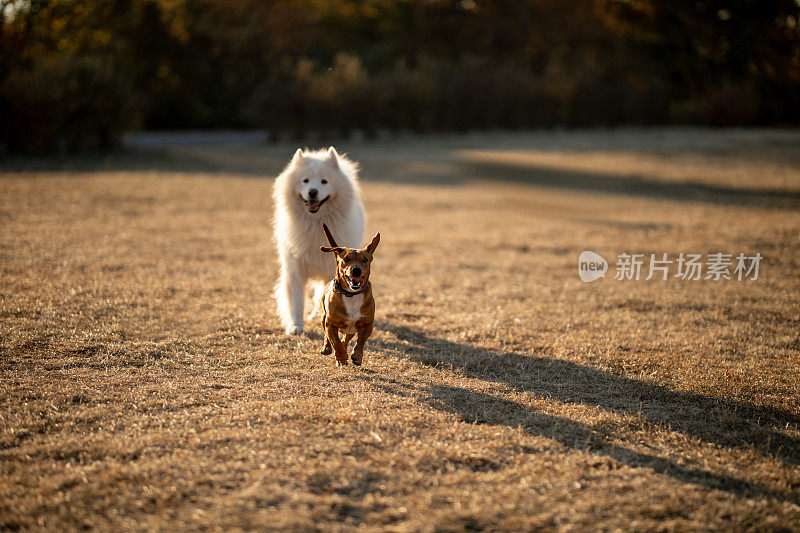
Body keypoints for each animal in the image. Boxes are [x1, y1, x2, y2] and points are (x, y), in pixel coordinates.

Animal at [272, 145, 366, 334]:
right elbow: (296, 301)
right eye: (305, 180)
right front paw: (295, 326)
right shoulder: (295, 269)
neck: (316, 223)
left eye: (324, 181)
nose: (313, 192)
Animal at [320, 221, 380, 366]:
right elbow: (335, 342)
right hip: (323, 317)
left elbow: (361, 342)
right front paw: (341, 357)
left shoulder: (367, 324)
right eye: (346, 259)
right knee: (328, 336)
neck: (352, 295)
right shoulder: (330, 323)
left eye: (365, 260)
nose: (356, 270)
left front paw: (357, 356)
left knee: (346, 339)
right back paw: (327, 348)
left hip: (351, 329)